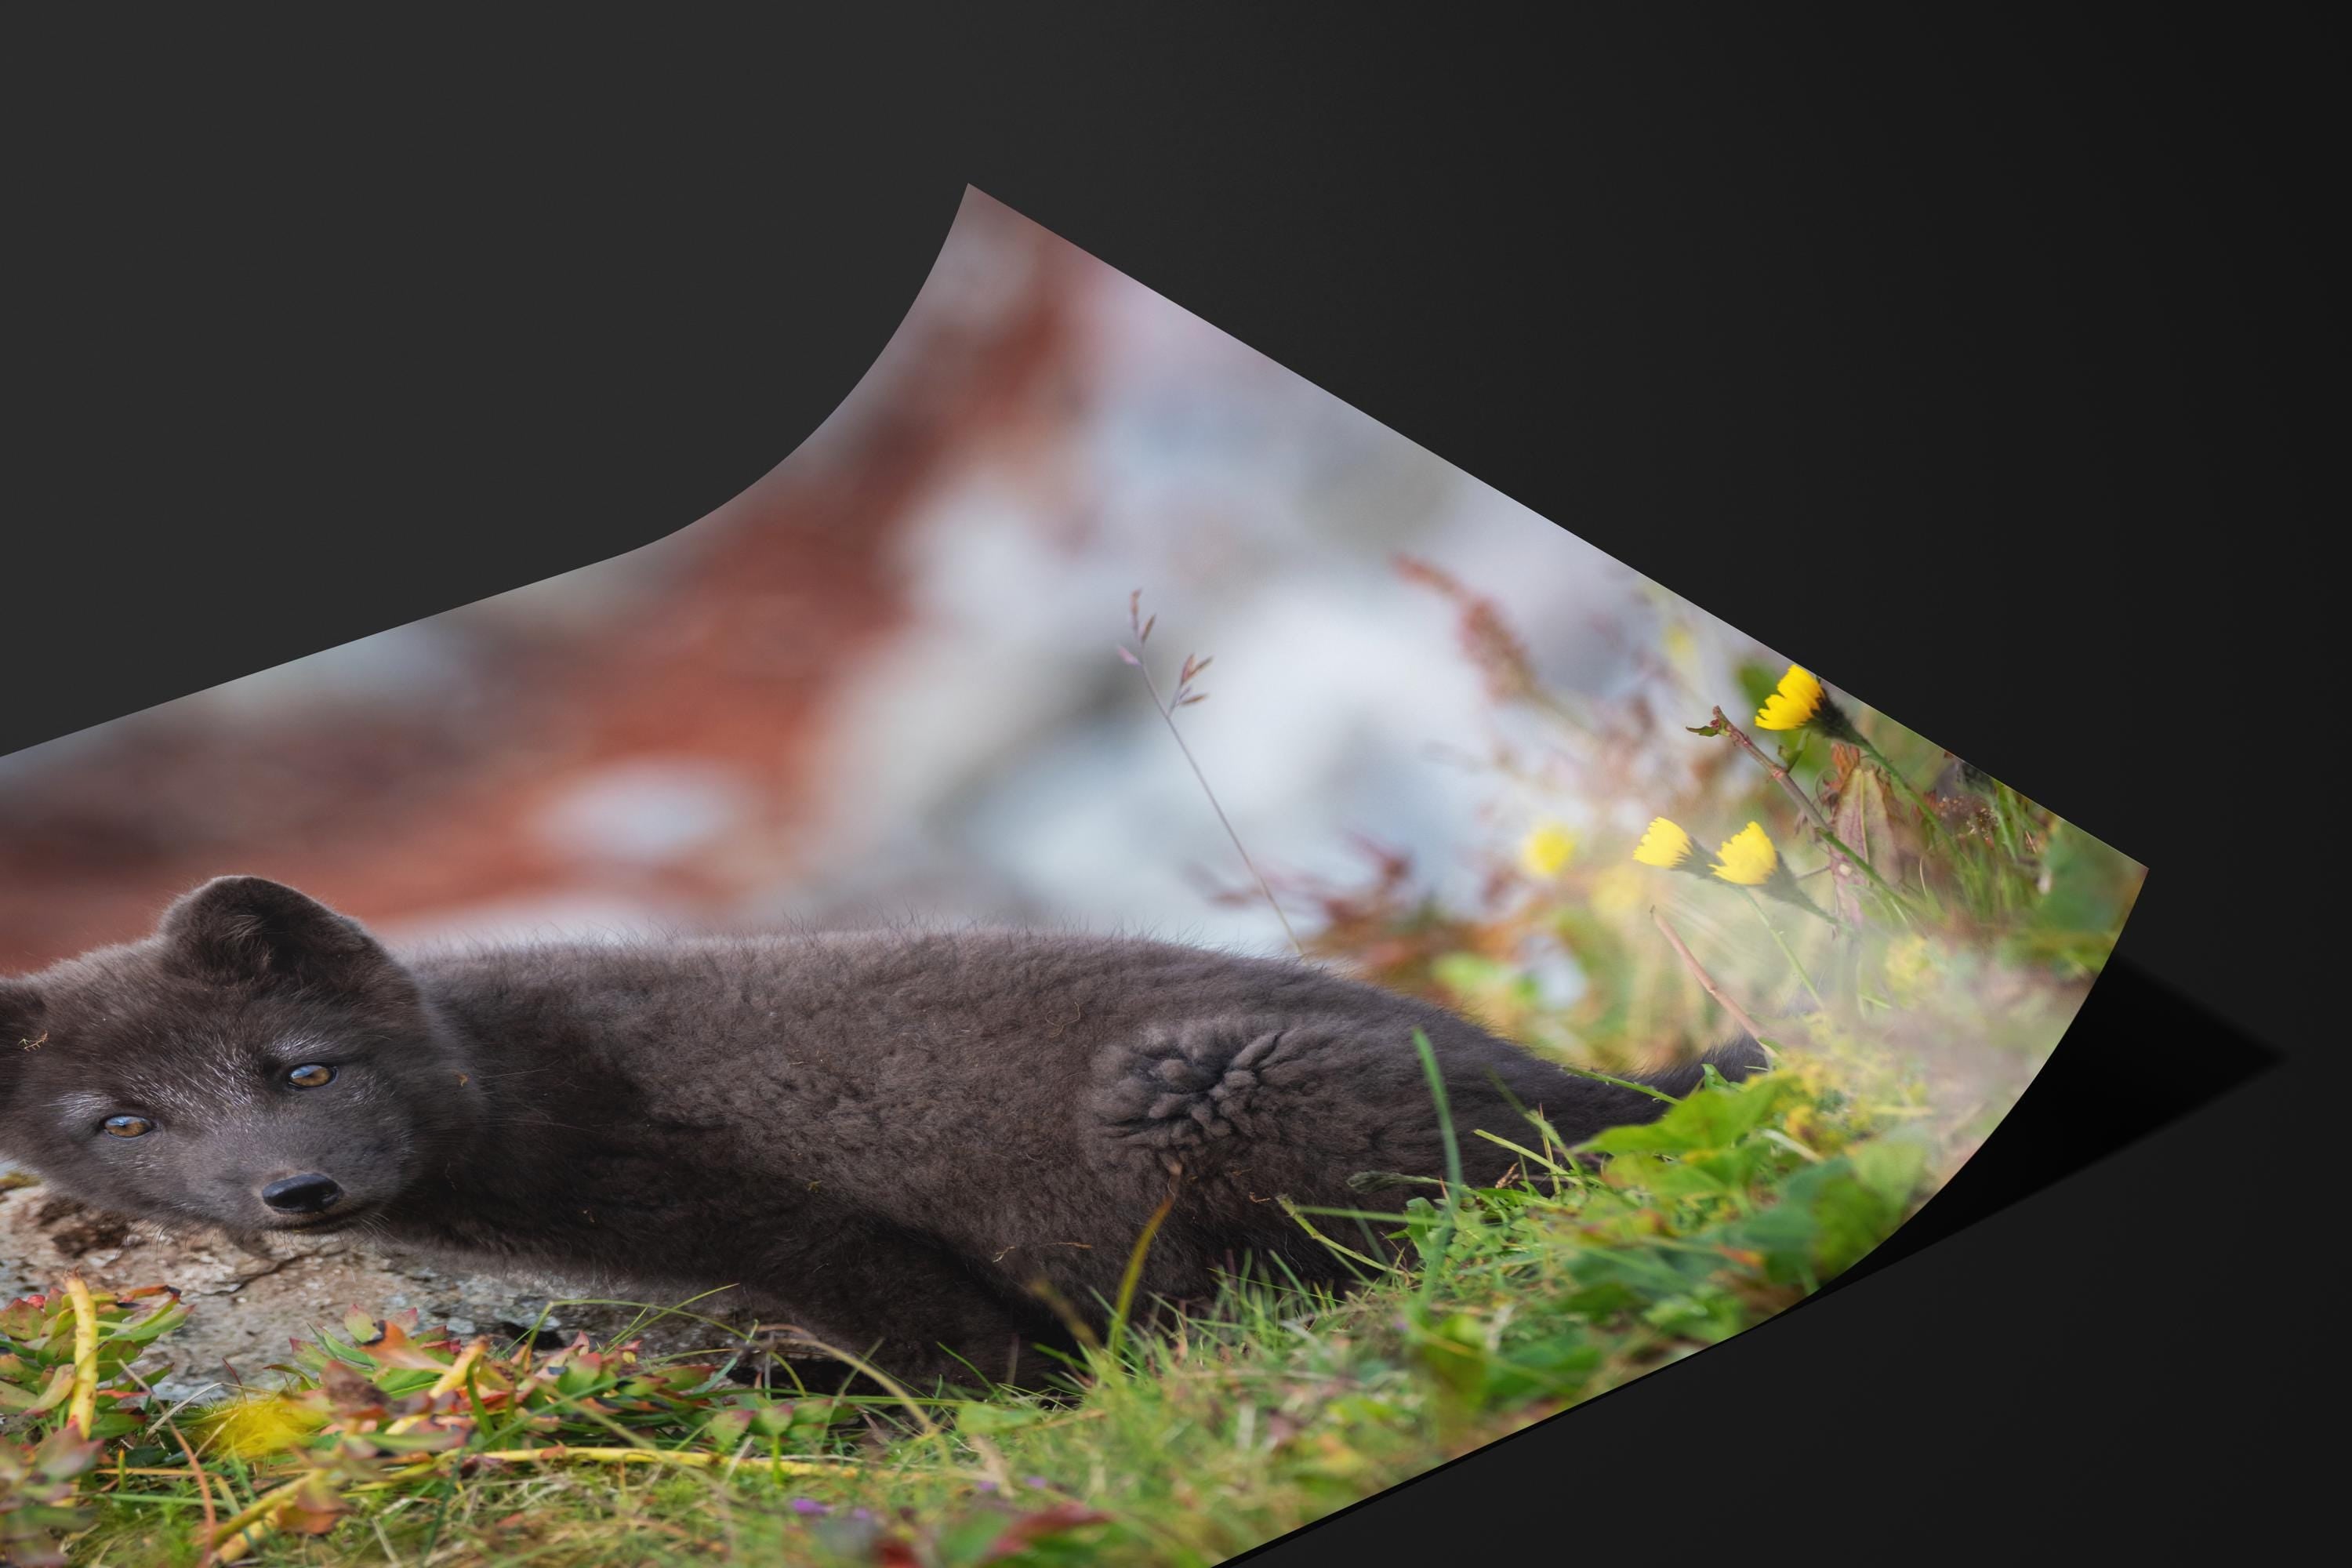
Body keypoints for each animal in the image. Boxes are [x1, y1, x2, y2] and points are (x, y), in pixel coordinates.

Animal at [0, 875, 1763, 1389]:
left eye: (300, 1069)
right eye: (126, 1118)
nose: (295, 1189)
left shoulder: (777, 1216)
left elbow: (943, 1339)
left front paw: (996, 1415)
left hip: (1195, 1079)